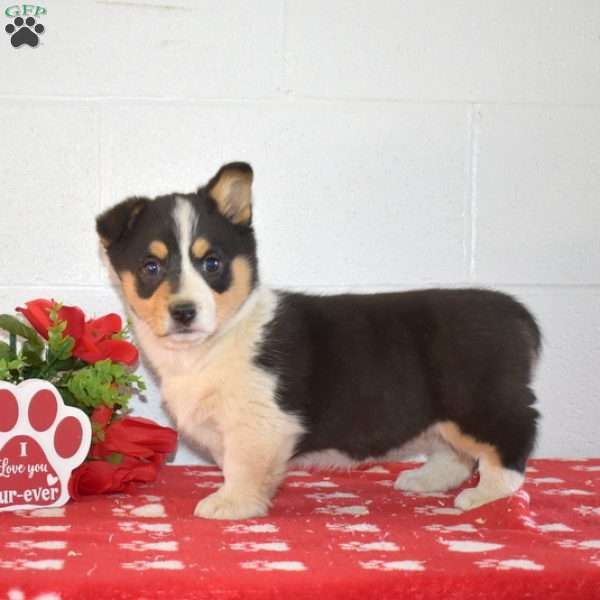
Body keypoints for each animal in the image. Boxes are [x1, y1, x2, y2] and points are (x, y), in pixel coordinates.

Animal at [97, 162, 540, 516]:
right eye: (151, 266)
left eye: (212, 263)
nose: (184, 312)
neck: (213, 343)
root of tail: (515, 312)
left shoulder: (260, 422)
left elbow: (242, 467)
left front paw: (231, 504)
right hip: (445, 412)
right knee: (456, 452)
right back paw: (426, 480)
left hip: (476, 401)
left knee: (512, 440)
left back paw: (484, 494)